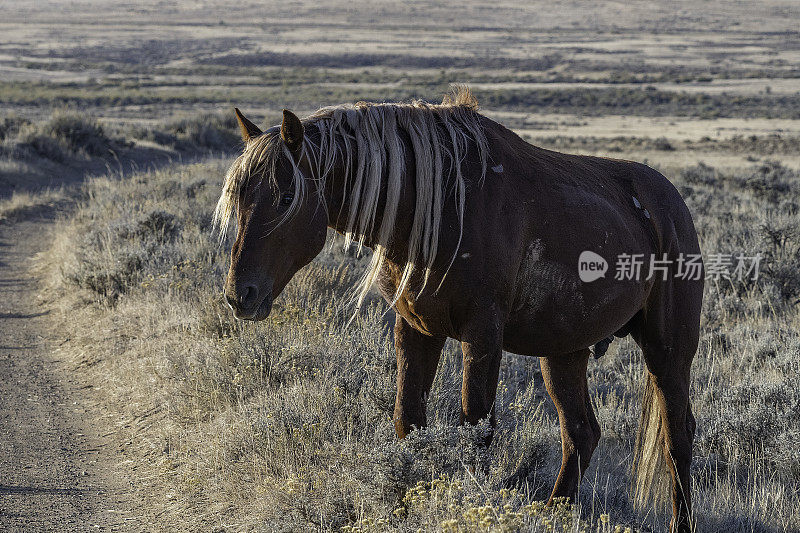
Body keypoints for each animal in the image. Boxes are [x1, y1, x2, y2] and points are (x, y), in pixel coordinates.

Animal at [216, 87, 704, 528]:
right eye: (239, 200)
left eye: (285, 197)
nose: (240, 295)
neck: (435, 206)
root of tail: (673, 204)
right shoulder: (416, 329)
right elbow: (408, 421)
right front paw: (406, 506)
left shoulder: (482, 333)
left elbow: (476, 427)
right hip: (564, 350)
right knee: (581, 433)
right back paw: (553, 514)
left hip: (668, 349)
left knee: (677, 435)